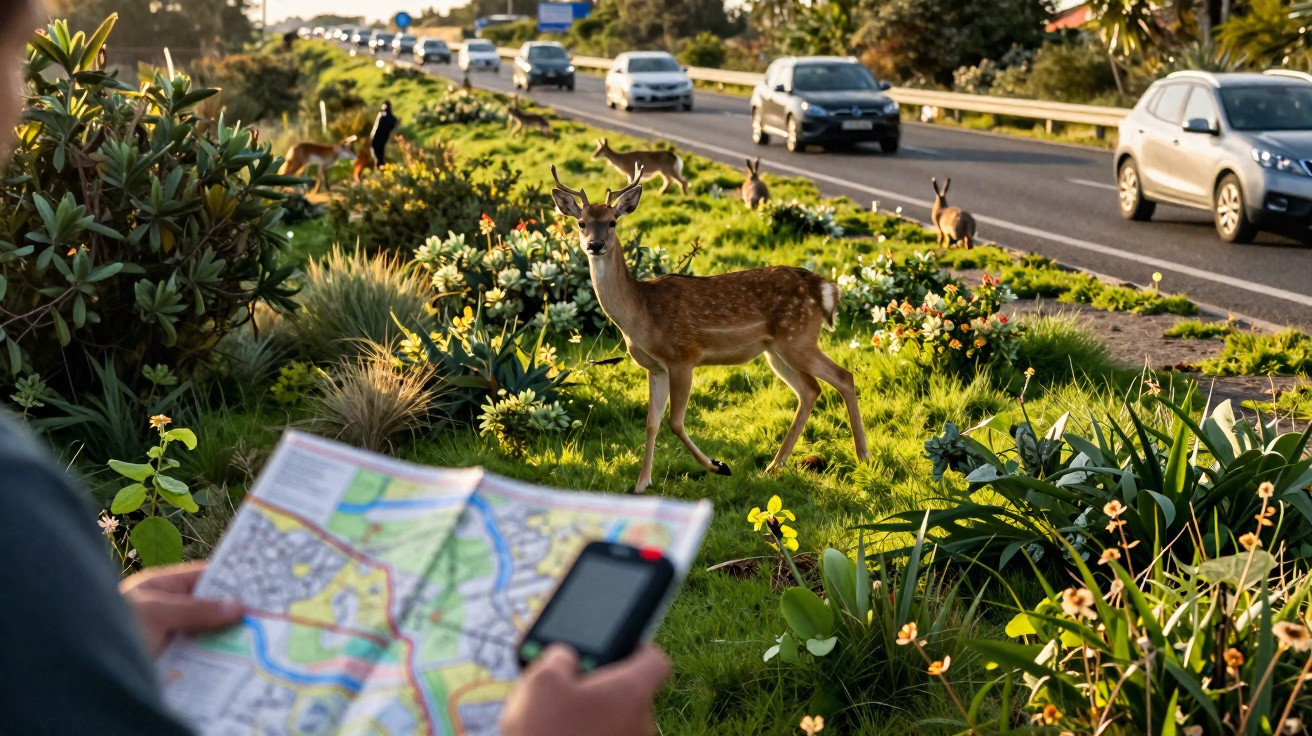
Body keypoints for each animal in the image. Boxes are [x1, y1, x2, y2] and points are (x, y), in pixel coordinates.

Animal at [550, 163, 869, 494]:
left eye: (612, 222)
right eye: (581, 222)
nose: (595, 244)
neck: (641, 315)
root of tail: (826, 289)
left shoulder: (682, 358)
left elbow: (675, 422)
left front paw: (719, 466)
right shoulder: (655, 367)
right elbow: (651, 422)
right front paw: (641, 484)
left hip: (798, 338)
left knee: (843, 377)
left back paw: (863, 456)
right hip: (776, 350)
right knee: (810, 390)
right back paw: (774, 465)